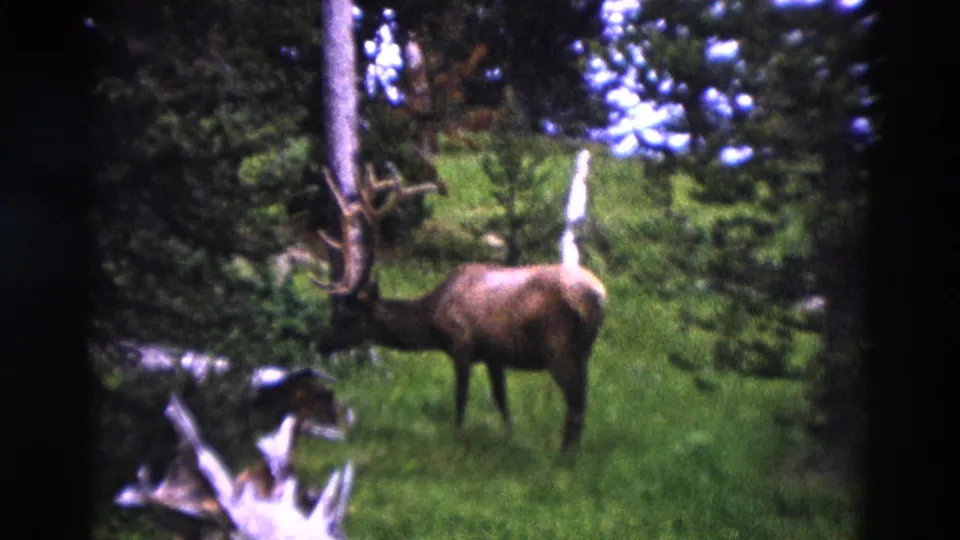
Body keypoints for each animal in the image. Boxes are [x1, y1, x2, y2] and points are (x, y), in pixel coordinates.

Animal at [307, 161, 606, 451]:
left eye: (351, 315)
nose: (321, 343)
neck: (433, 321)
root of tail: (599, 296)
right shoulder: (494, 355)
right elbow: (501, 400)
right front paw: (509, 437)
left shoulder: (462, 344)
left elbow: (460, 399)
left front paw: (458, 439)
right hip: (584, 350)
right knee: (581, 398)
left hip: (559, 347)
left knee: (576, 402)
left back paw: (566, 454)